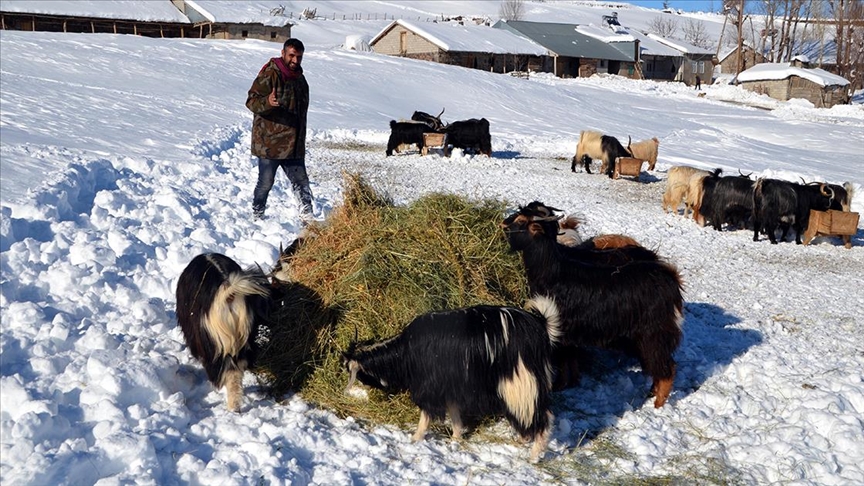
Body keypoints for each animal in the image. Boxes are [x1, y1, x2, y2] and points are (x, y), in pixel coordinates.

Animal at [174, 252, 268, 412]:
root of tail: (228, 292)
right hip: (242, 340)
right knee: (236, 373)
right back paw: (235, 407)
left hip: (215, 343)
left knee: (224, 371)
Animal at [340, 296, 564, 464]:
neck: (405, 353)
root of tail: (541, 327)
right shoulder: (449, 385)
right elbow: (454, 412)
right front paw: (455, 438)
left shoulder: (430, 386)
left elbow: (426, 414)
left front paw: (415, 438)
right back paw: (523, 440)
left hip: (520, 383)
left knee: (541, 416)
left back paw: (533, 455)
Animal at [500, 203, 680, 408]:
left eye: (521, 220)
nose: (503, 224)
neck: (552, 271)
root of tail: (671, 279)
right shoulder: (568, 335)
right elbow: (569, 360)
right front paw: (568, 384)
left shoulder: (559, 328)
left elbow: (563, 360)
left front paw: (558, 386)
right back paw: (651, 394)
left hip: (653, 336)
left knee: (667, 369)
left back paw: (657, 404)